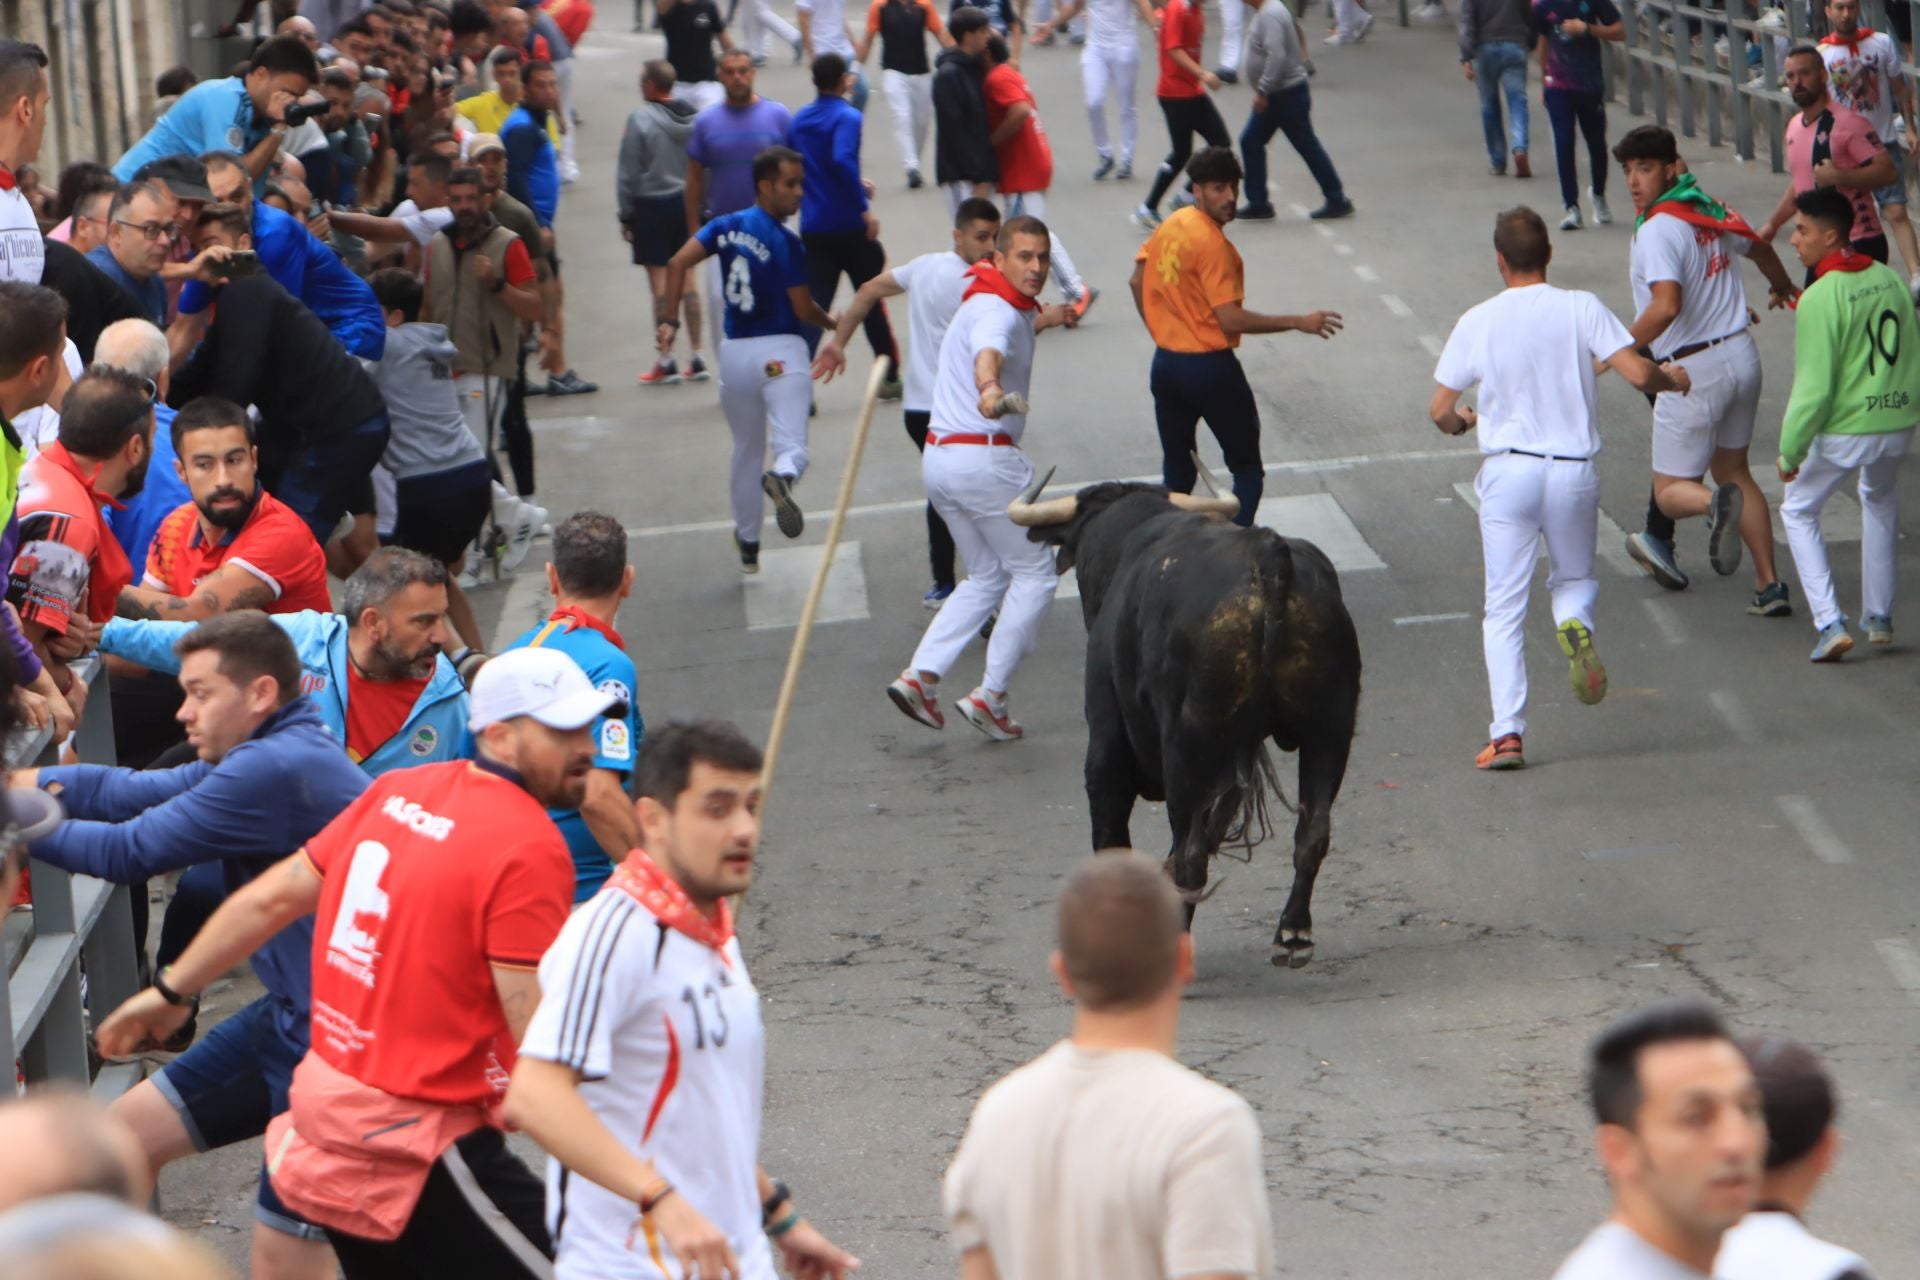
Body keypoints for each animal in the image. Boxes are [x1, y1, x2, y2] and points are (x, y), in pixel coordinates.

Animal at [1021, 485, 1367, 967]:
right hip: (1329, 731)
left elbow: (1111, 834)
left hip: (1190, 747)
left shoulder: (1106, 746)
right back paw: (1292, 932)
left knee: (1191, 854)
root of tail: (1268, 554)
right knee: (1312, 831)